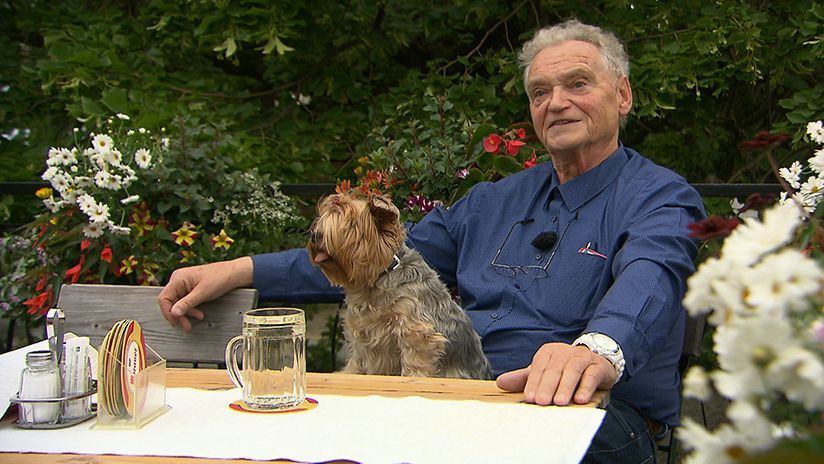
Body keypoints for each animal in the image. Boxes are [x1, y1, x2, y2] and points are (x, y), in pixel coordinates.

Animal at [308, 190, 490, 378]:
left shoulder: (416, 333)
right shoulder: (360, 338)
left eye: (350, 224)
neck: (378, 277)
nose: (314, 235)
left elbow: (415, 366)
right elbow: (356, 362)